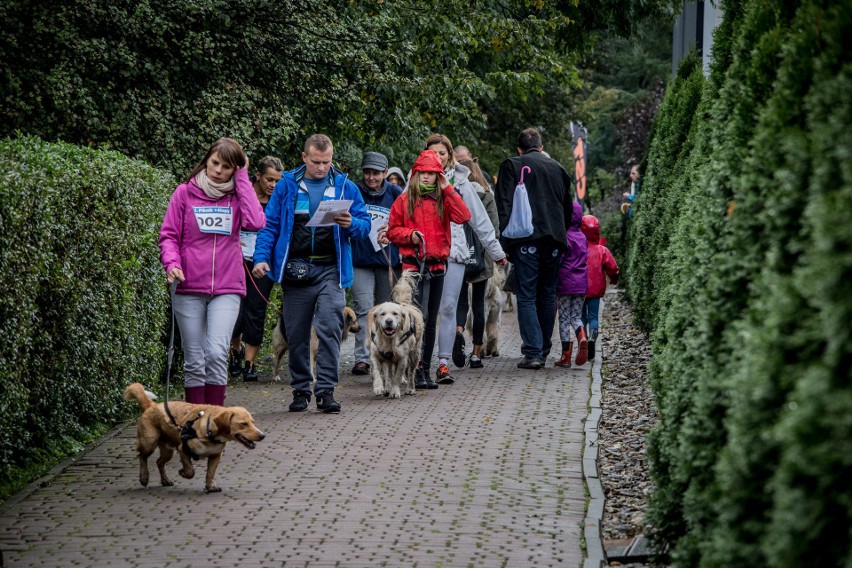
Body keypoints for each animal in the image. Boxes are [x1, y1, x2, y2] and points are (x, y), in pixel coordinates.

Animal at [122, 382, 262, 492]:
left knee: (159, 462)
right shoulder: (182, 450)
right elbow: (190, 471)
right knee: (142, 456)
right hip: (149, 443)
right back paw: (144, 477)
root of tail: (152, 405)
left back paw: (165, 480)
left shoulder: (215, 456)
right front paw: (183, 473)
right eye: (243, 424)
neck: (208, 431)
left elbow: (210, 473)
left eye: (252, 422)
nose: (262, 435)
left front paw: (211, 485)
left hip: (168, 450)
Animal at [370, 272, 426, 400]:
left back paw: (410, 389)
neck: (389, 340)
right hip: (389, 360)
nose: (389, 321)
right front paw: (378, 387)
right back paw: (387, 388)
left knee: (411, 373)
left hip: (415, 353)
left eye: (395, 314)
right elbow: (377, 372)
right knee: (388, 373)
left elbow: (397, 377)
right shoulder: (376, 354)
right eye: (382, 314)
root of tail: (404, 304)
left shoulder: (402, 358)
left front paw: (395, 391)